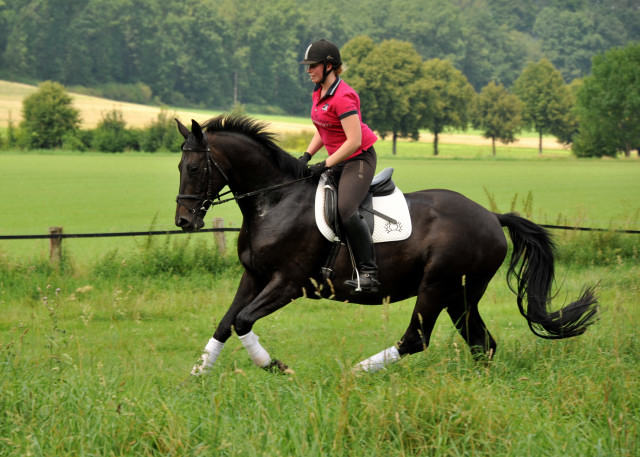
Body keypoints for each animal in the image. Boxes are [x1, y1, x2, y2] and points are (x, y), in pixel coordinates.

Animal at [174, 115, 596, 374]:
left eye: (194, 168)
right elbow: (226, 323)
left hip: (438, 286)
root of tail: (492, 217)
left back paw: (356, 372)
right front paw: (197, 373)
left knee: (416, 339)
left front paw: (276, 367)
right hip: (462, 294)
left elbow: (243, 321)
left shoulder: (287, 284)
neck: (275, 201)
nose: (184, 222)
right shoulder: (254, 277)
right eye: (180, 167)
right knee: (482, 342)